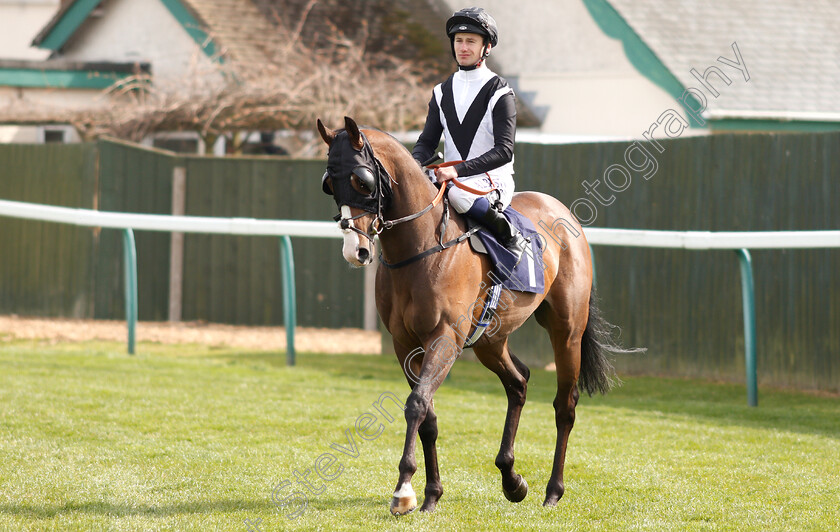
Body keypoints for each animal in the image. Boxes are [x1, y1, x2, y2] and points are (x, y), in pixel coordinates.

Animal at [316, 117, 632, 516]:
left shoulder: (445, 339)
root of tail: (557, 206)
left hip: (566, 331)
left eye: (362, 181)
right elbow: (428, 416)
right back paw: (512, 479)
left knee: (565, 406)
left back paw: (553, 491)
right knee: (518, 382)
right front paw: (431, 494)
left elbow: (416, 405)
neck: (421, 248)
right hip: (490, 341)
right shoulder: (405, 345)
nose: (354, 250)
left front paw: (404, 489)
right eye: (329, 183)